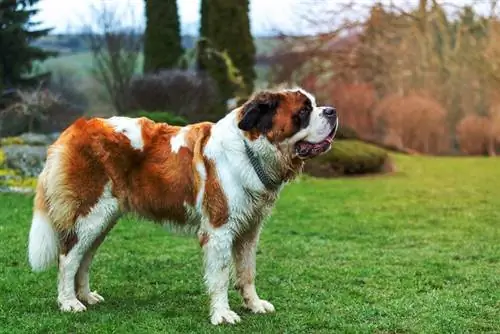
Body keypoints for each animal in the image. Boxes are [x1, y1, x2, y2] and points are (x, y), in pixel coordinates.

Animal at [28, 87, 340, 324]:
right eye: (304, 111)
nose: (332, 111)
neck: (250, 150)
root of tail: (75, 128)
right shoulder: (219, 230)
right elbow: (221, 274)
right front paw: (223, 314)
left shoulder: (250, 230)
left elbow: (247, 271)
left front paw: (254, 304)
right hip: (91, 213)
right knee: (68, 257)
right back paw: (69, 302)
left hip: (103, 219)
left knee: (84, 258)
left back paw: (85, 296)